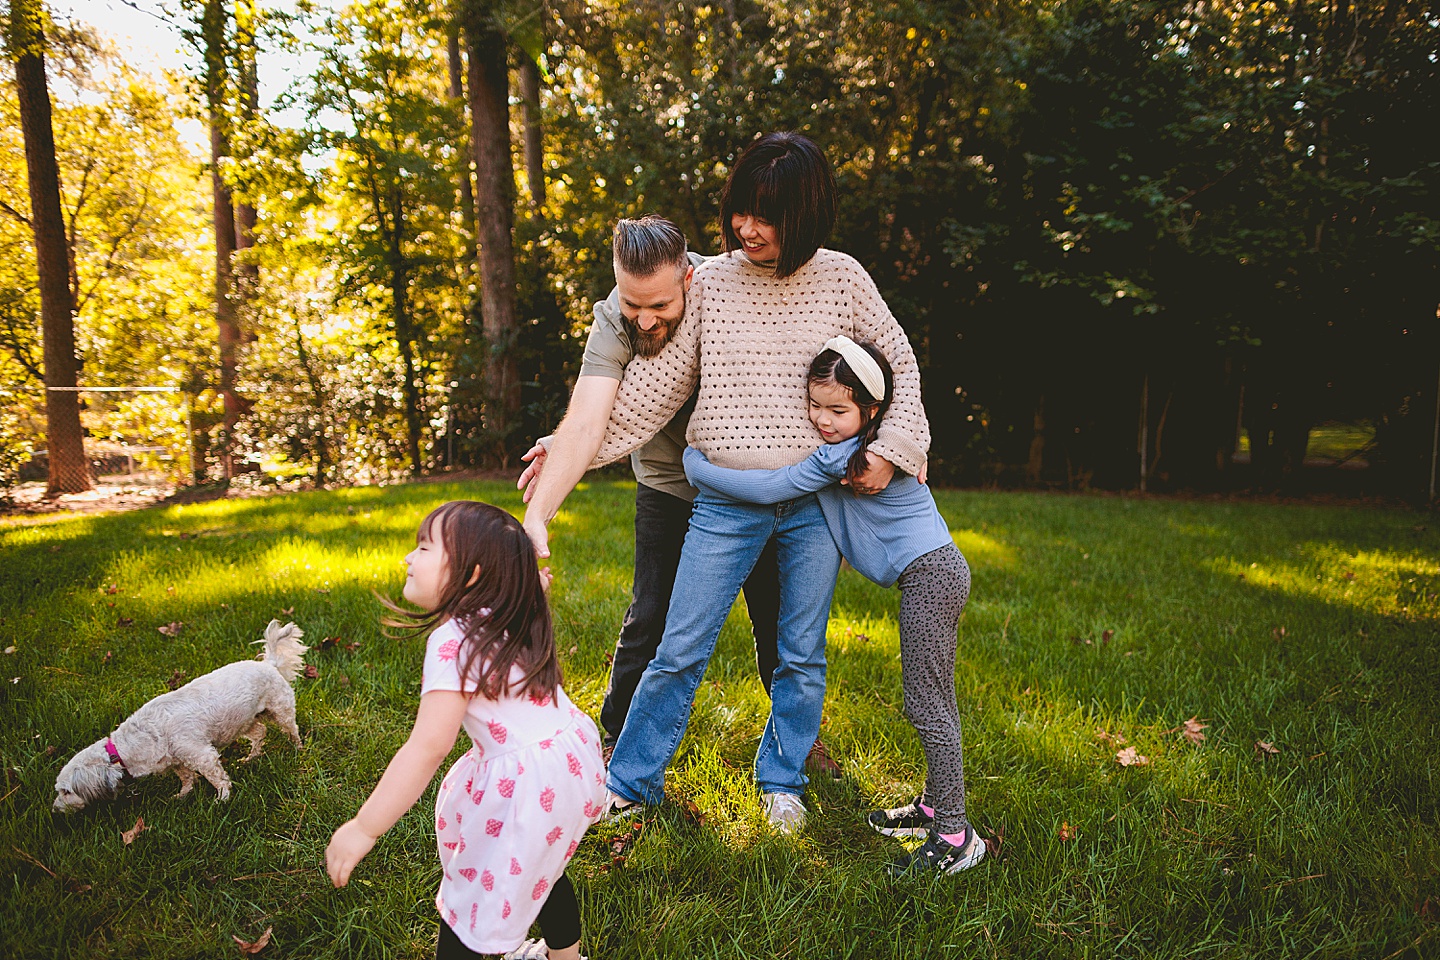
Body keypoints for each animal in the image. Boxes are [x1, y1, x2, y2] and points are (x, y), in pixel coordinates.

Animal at [54, 624, 309, 811]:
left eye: (65, 791)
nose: (55, 809)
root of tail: (269, 664)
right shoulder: (177, 761)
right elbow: (186, 779)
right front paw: (182, 795)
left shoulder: (201, 755)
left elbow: (217, 778)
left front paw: (222, 799)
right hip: (242, 722)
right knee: (260, 732)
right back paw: (251, 758)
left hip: (281, 711)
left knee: (292, 730)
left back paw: (297, 749)